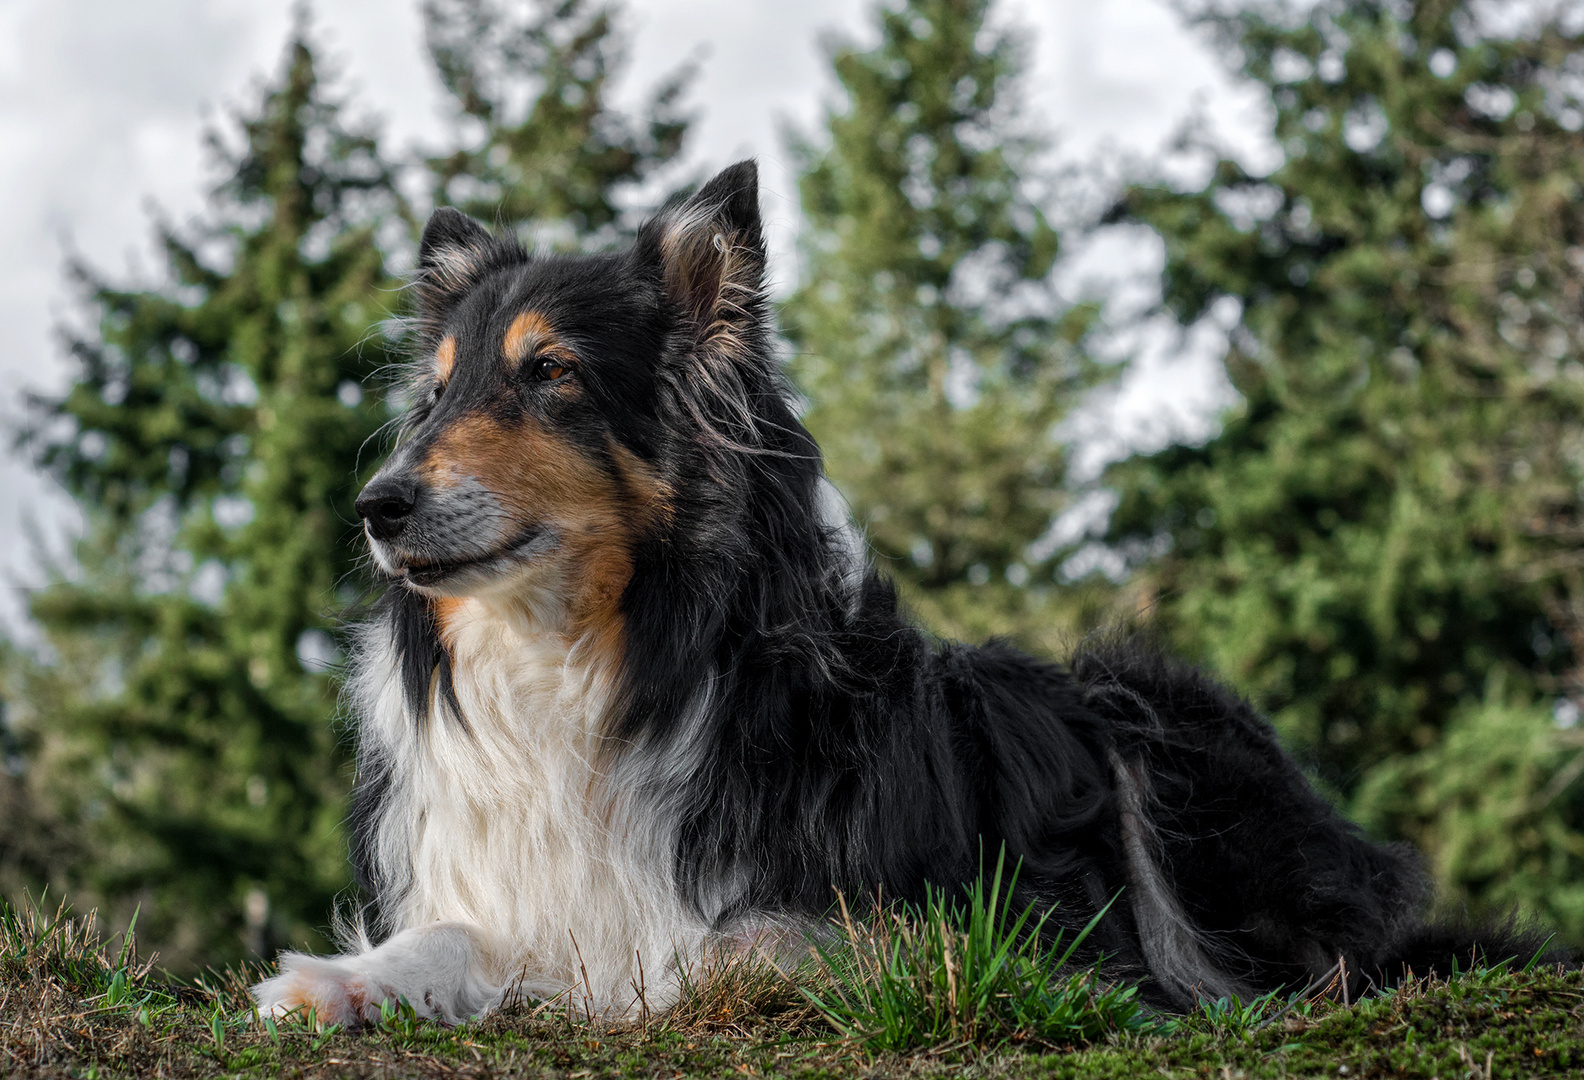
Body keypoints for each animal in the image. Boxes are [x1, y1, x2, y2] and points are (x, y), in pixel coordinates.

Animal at [250, 155, 1545, 1019]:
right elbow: (463, 936)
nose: (378, 506)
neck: (595, 656)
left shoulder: (963, 914)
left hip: (1147, 717)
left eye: (552, 374)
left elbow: (730, 945)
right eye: (436, 398)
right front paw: (343, 982)